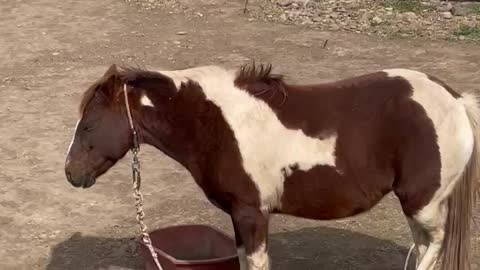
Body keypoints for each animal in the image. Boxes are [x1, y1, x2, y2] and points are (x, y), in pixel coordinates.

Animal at [64, 62, 480, 270]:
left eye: (88, 125)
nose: (71, 173)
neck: (215, 123)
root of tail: (456, 100)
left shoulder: (252, 214)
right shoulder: (239, 217)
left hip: (423, 204)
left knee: (435, 244)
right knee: (425, 246)